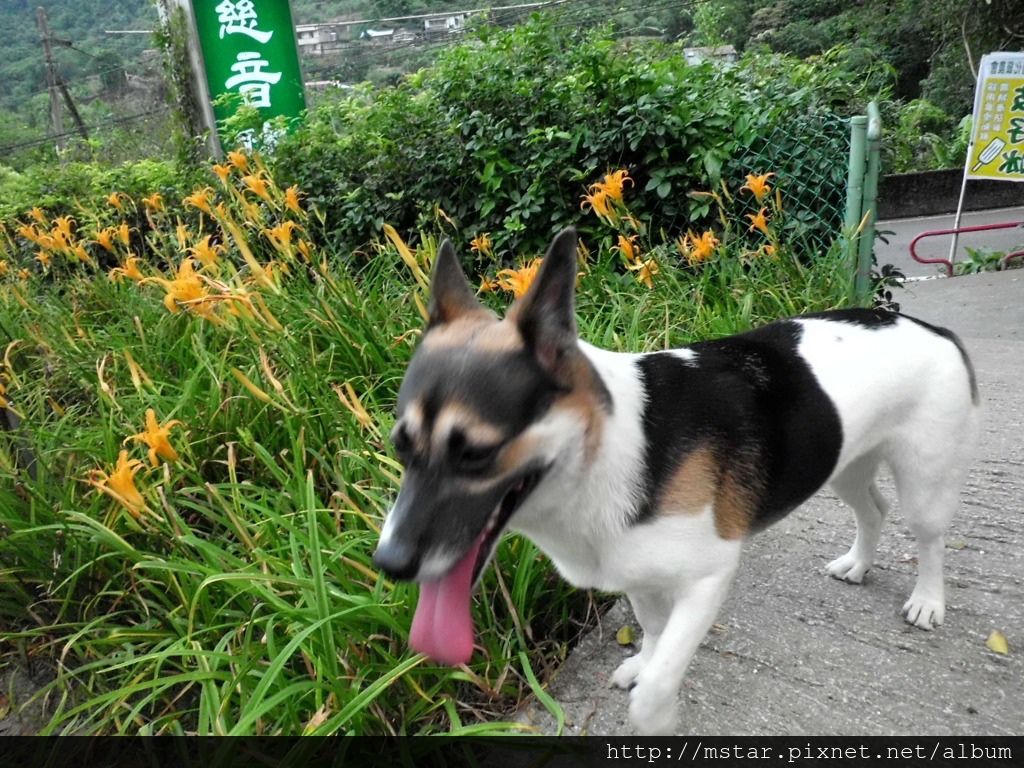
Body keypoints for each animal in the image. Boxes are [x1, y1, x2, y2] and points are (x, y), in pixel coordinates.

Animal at [372, 227, 978, 733]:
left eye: (476, 453)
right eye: (399, 447)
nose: (388, 563)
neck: (608, 449)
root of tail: (930, 328)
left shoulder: (707, 580)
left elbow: (661, 681)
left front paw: (657, 708)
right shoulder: (638, 576)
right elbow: (654, 632)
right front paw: (644, 658)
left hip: (925, 481)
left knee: (928, 538)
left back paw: (928, 600)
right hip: (841, 465)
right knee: (872, 510)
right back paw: (858, 563)